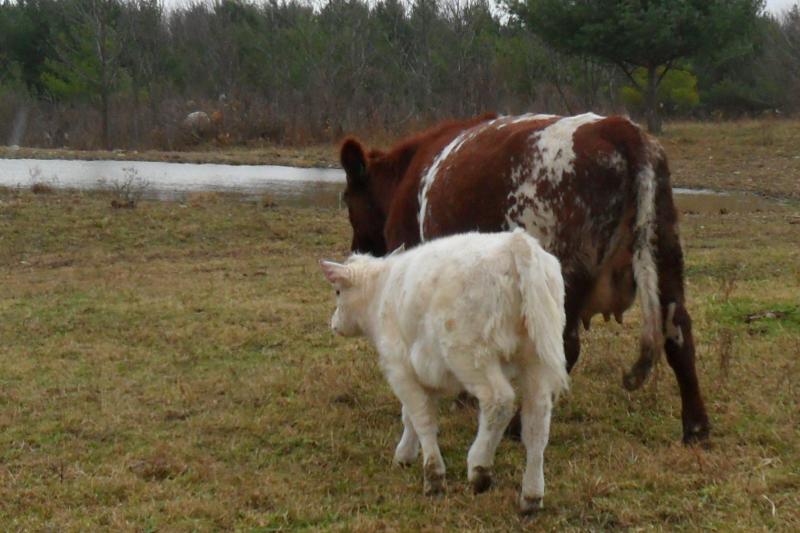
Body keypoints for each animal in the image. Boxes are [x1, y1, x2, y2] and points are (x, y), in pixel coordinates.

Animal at [321, 229, 569, 513]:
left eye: (338, 291)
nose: (334, 324)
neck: (380, 292)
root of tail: (515, 243)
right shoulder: (425, 374)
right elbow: (411, 416)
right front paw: (405, 454)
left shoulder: (399, 369)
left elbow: (422, 418)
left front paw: (433, 475)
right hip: (536, 360)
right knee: (537, 421)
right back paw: (531, 495)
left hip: (471, 357)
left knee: (499, 402)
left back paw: (479, 467)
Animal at [338, 112, 710, 444]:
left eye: (347, 199)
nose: (356, 248)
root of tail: (619, 128)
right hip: (666, 258)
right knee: (678, 334)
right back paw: (696, 428)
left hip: (562, 275)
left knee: (565, 347)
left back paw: (519, 426)